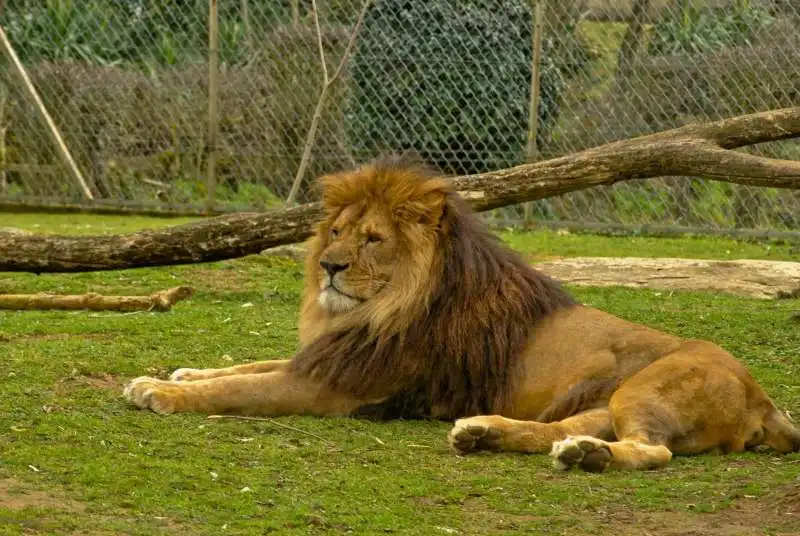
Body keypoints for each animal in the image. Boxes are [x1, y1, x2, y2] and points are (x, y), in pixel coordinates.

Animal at [122, 153, 796, 472]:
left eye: (372, 239)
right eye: (335, 232)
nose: (329, 267)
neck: (377, 309)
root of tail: (765, 400)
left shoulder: (336, 388)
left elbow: (243, 387)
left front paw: (162, 391)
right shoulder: (328, 357)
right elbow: (247, 364)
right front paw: (179, 372)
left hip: (646, 388)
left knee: (653, 452)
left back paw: (590, 458)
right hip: (601, 399)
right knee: (564, 430)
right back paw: (493, 434)